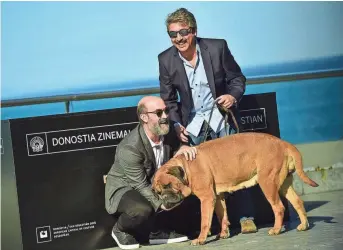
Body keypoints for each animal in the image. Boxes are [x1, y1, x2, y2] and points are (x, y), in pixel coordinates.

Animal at [153, 132, 320, 245]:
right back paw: (303, 225)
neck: (186, 168)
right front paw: (224, 233)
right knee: (297, 202)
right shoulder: (217, 197)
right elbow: (222, 216)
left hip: (267, 182)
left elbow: (205, 221)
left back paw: (276, 229)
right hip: (284, 184)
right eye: (158, 192)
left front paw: (200, 239)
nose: (164, 198)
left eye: (168, 186)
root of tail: (283, 143)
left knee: (278, 207)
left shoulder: (207, 198)